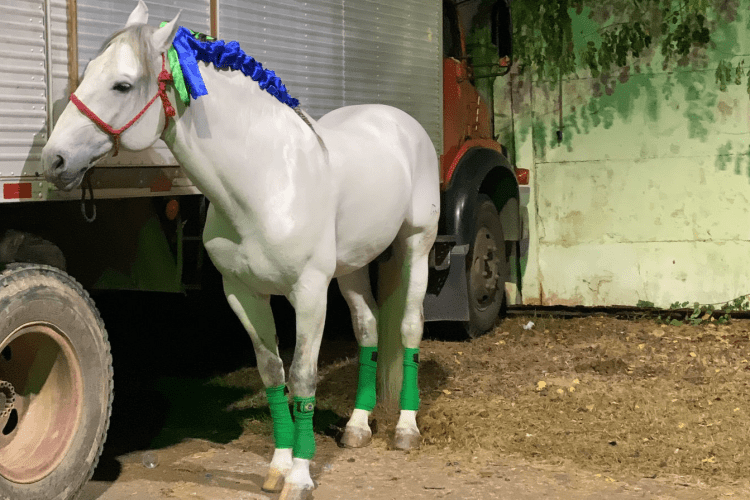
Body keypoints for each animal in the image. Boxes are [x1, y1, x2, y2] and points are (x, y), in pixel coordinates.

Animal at [42, 1, 440, 498]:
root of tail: (397, 119)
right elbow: (272, 373)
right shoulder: (243, 294)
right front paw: (278, 466)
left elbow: (302, 376)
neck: (265, 181)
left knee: (409, 327)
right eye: (88, 73)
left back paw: (405, 428)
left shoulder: (309, 293)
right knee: (367, 327)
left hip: (416, 244)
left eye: (123, 84)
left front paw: (301, 476)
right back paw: (357, 426)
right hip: (351, 265)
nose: (53, 160)